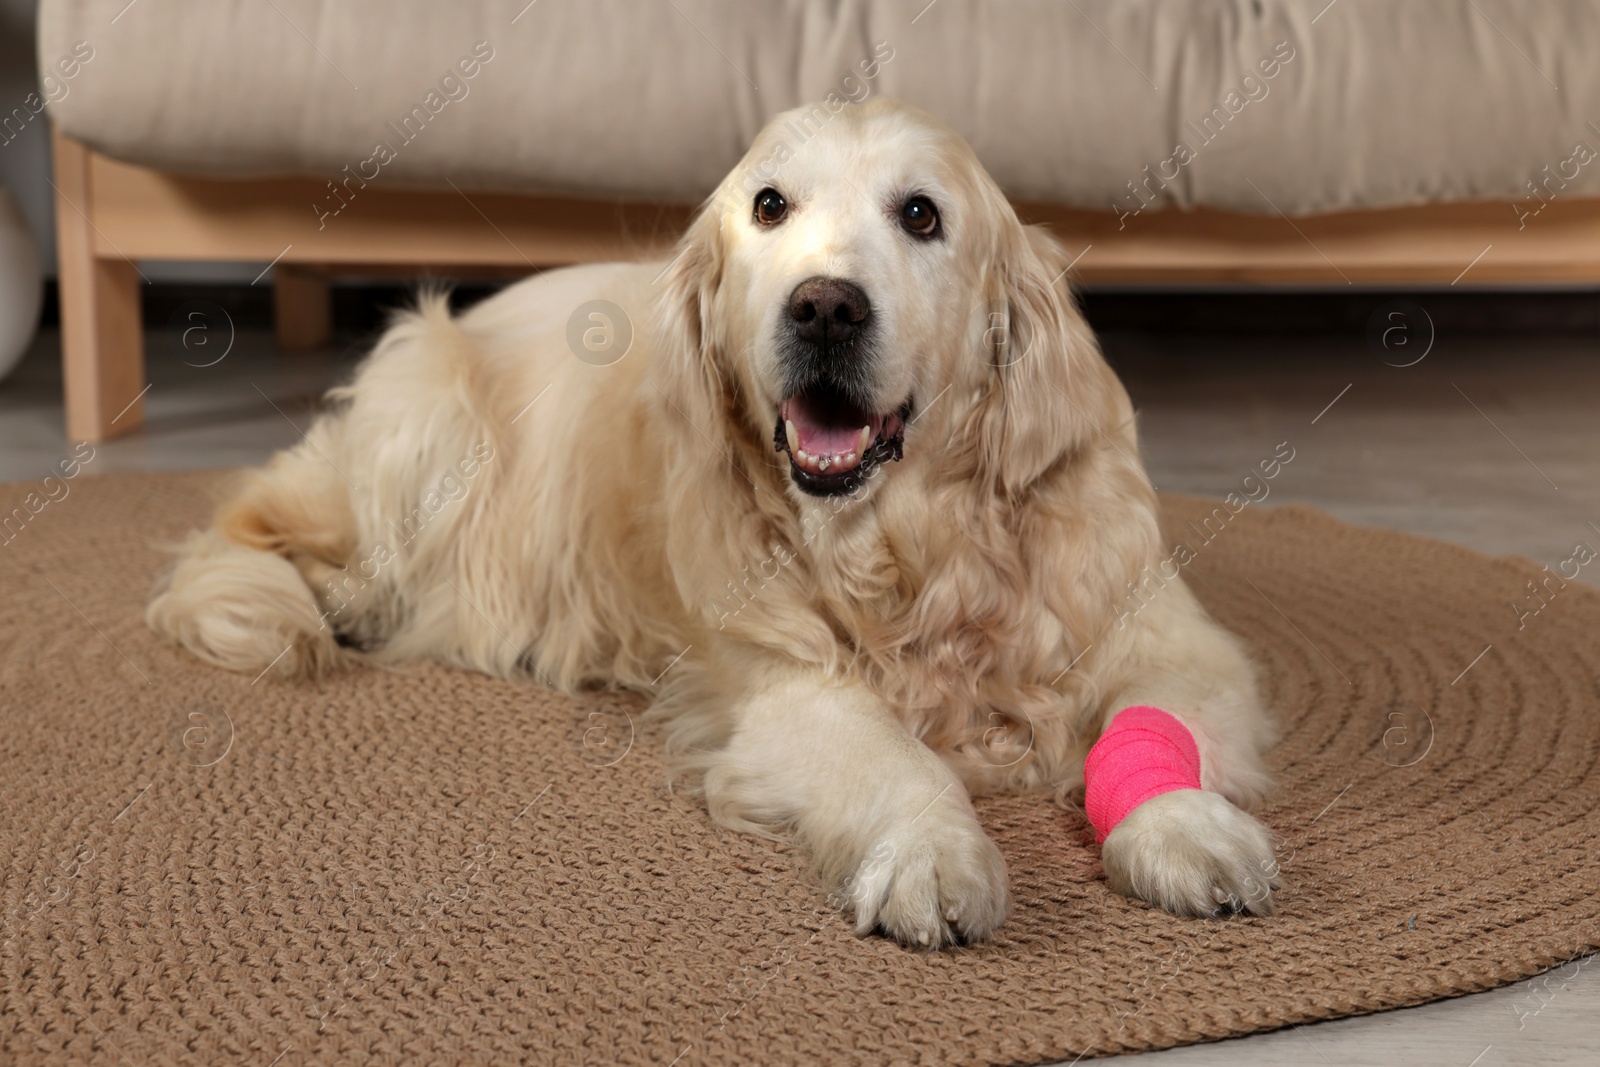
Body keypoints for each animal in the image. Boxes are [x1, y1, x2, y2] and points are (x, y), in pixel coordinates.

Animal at [147, 99, 1273, 953]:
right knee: (256, 533)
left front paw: (1185, 826)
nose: (825, 307)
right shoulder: (777, 680)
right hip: (428, 415)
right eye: (769, 205)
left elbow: (1150, 719)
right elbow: (889, 753)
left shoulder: (1169, 630)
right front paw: (929, 849)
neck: (912, 549)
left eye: (922, 215)